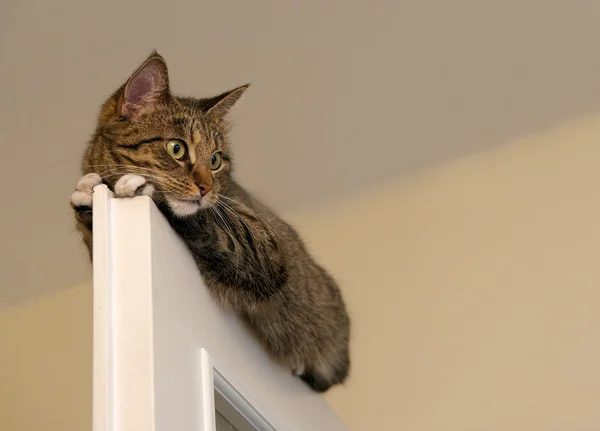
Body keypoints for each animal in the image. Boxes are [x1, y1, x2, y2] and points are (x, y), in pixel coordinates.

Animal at [69, 52, 352, 394]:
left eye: (215, 160)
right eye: (176, 148)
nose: (206, 188)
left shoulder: (263, 246)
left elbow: (207, 223)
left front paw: (142, 188)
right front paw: (86, 199)